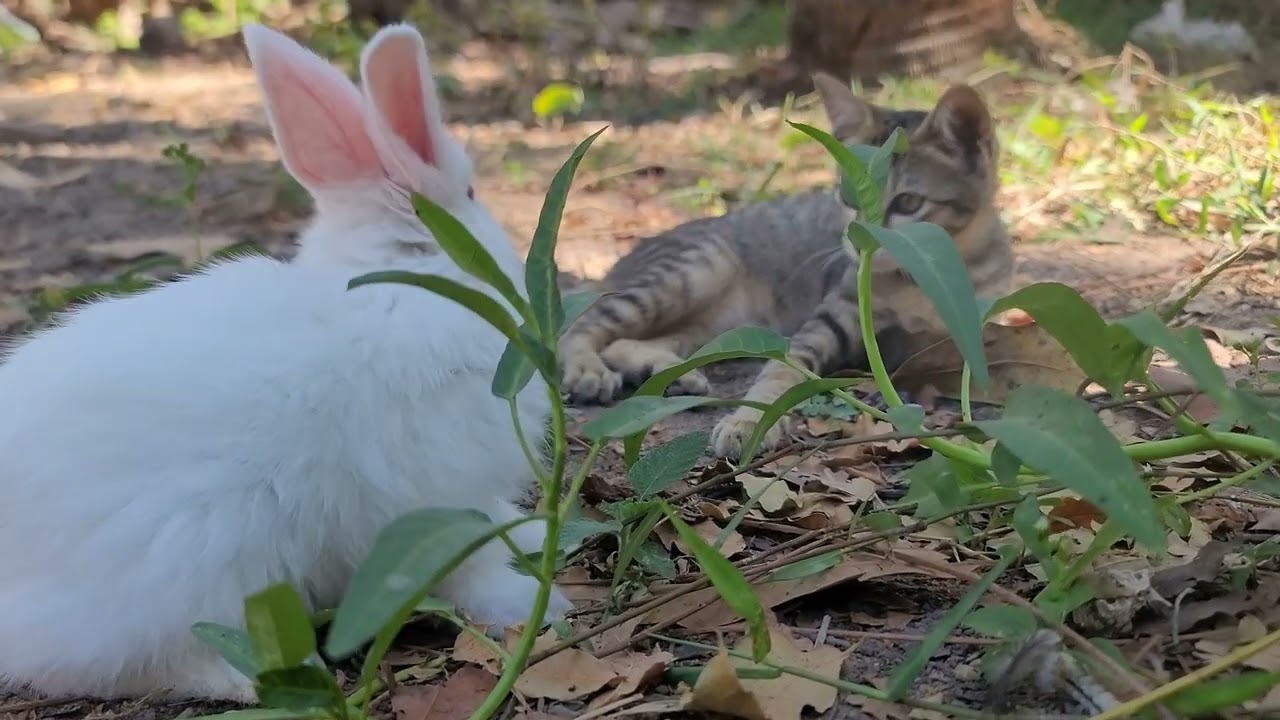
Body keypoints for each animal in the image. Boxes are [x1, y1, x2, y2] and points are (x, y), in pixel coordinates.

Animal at [0, 22, 573, 703]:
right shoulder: (434, 495)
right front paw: (537, 604)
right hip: (179, 569)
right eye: (471, 192)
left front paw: (534, 536)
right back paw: (246, 679)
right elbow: (469, 563)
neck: (397, 286)